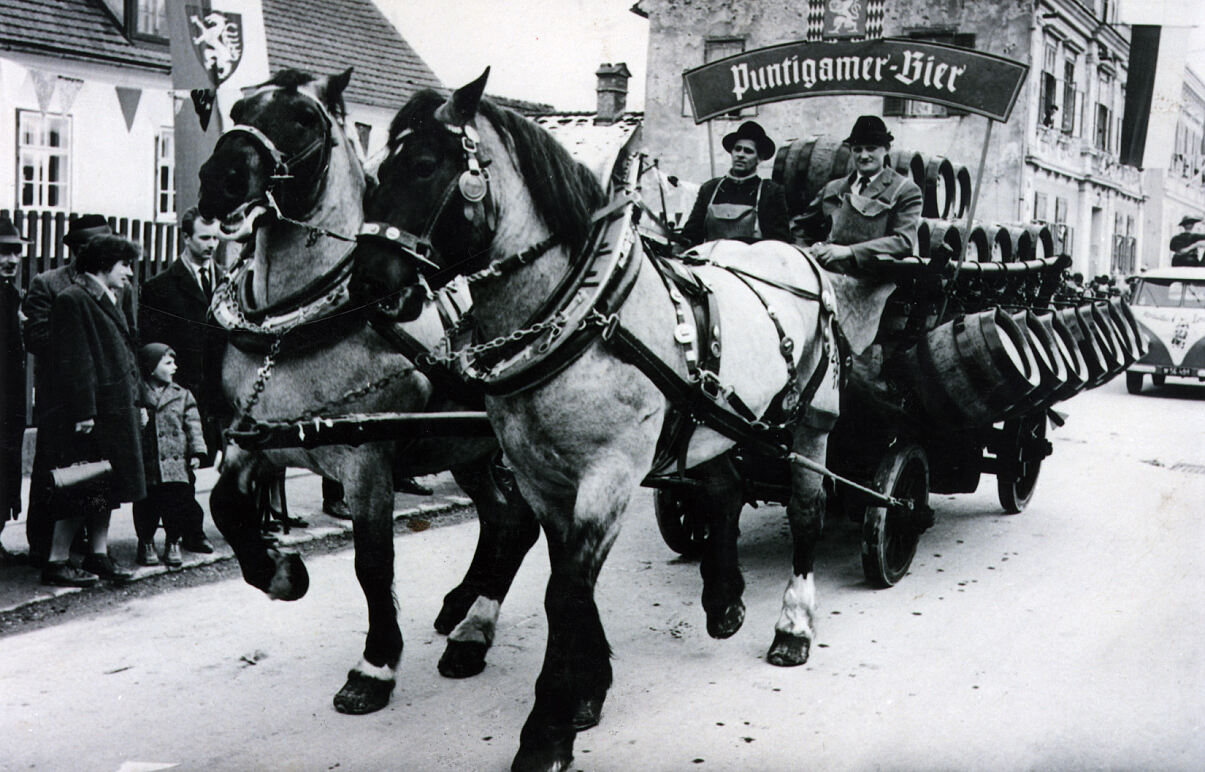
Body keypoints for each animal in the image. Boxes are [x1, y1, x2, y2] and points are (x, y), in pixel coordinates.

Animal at [196, 70, 542, 717]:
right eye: (237, 107)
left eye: (303, 119)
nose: (219, 178)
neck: (298, 323)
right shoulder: (255, 438)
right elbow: (225, 506)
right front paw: (281, 571)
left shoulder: (366, 462)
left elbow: (372, 564)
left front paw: (375, 666)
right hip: (468, 451)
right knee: (502, 518)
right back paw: (463, 608)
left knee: (521, 522)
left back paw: (472, 629)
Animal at [347, 69, 838, 765]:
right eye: (374, 170)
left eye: (421, 165)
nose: (365, 286)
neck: (588, 311)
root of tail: (793, 254)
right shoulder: (541, 476)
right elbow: (565, 581)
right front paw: (588, 689)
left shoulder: (609, 476)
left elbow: (566, 591)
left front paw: (547, 728)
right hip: (711, 420)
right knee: (723, 486)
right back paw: (723, 599)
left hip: (811, 420)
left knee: (805, 509)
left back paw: (793, 624)